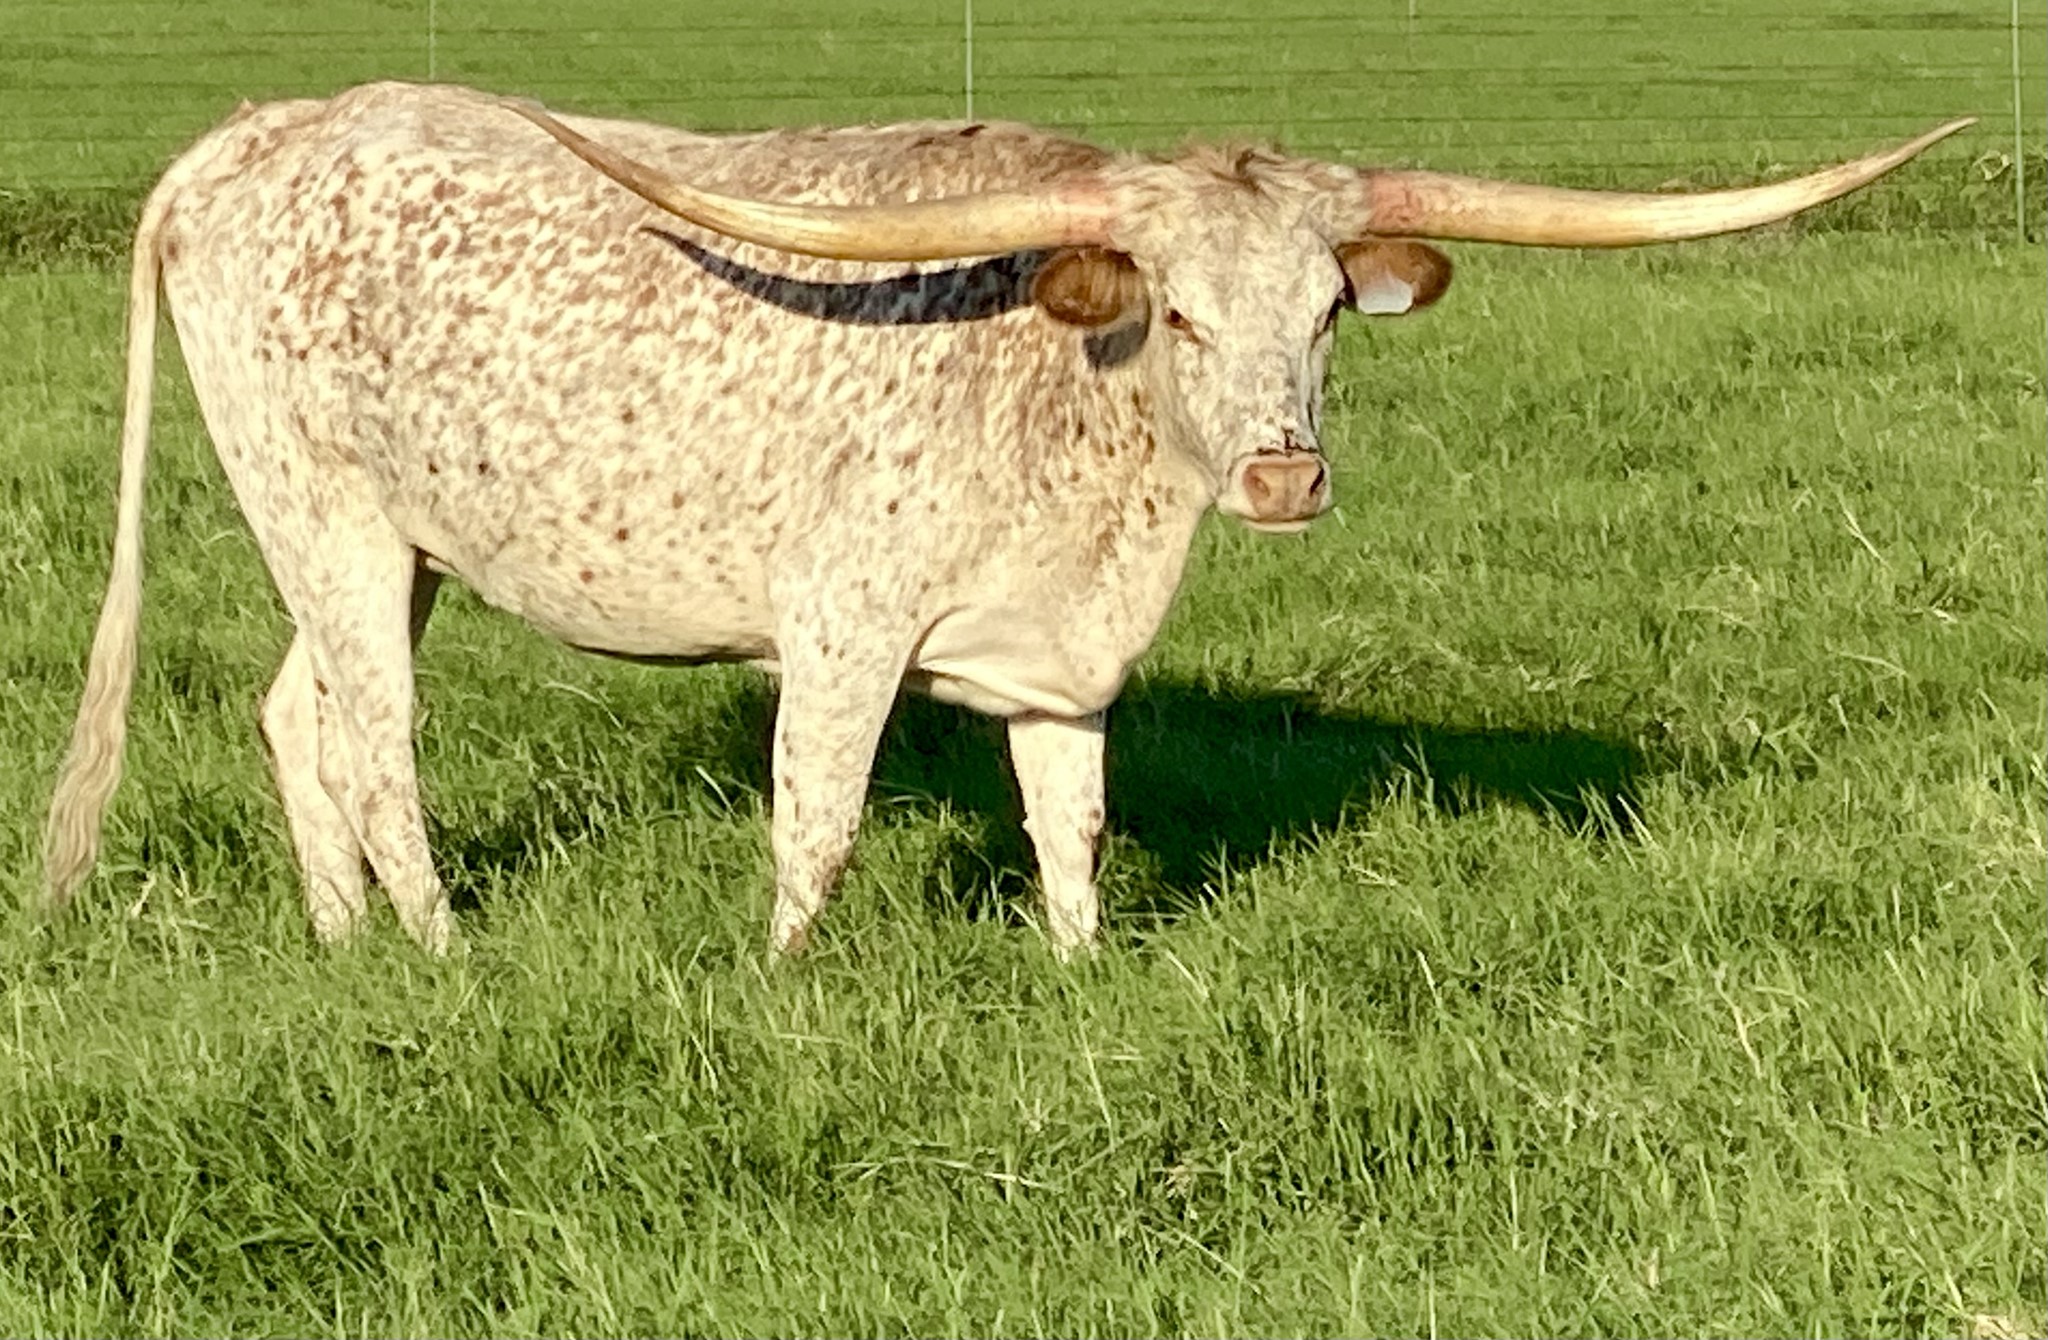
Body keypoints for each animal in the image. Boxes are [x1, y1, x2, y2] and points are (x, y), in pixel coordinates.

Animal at [41, 82, 1967, 956]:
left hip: (387, 542)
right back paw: (439, 950)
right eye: (1177, 312)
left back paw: (343, 941)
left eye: (1326, 316)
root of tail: (255, 133)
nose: (1283, 474)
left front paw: (1078, 976)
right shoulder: (839, 629)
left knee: (294, 716)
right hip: (335, 521)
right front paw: (783, 993)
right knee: (376, 741)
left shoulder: (1064, 663)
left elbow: (1074, 830)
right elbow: (813, 834)